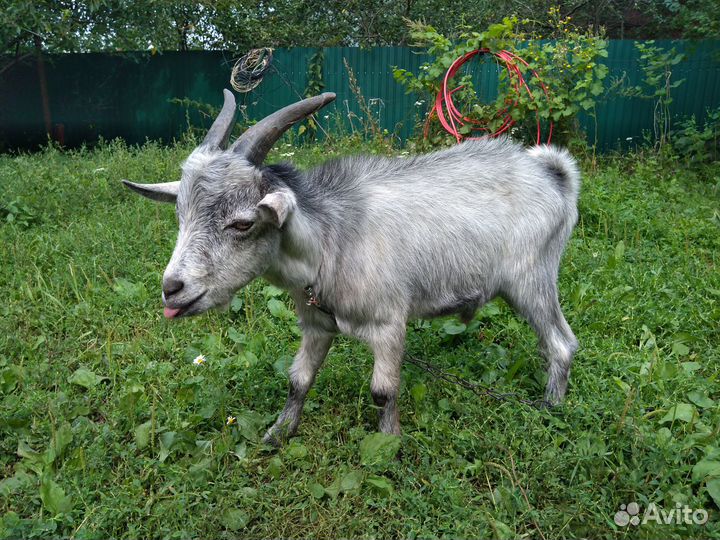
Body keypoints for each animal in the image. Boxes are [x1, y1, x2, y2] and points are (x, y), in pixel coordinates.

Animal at [123, 89, 580, 445]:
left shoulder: (390, 324)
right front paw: (278, 433)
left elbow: (383, 390)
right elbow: (298, 379)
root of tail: (552, 173)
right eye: (181, 214)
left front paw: (389, 446)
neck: (332, 240)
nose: (172, 288)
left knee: (561, 344)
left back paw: (550, 409)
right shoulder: (316, 325)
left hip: (531, 281)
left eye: (242, 223)